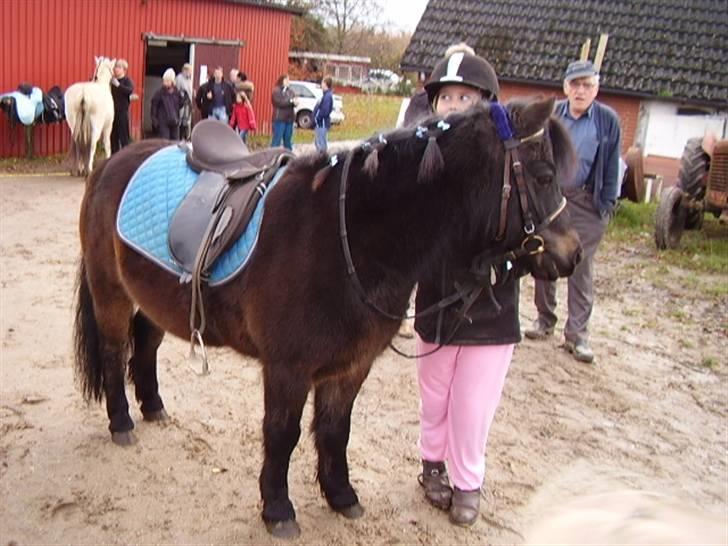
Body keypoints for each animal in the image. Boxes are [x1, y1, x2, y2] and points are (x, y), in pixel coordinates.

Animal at [75, 96, 580, 536]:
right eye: (544, 174)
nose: (572, 254)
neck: (349, 236)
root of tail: (112, 163)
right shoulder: (288, 368)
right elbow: (283, 433)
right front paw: (278, 508)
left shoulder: (351, 366)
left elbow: (337, 431)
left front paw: (341, 496)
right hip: (111, 292)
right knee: (114, 350)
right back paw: (121, 422)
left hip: (152, 298)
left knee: (145, 345)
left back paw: (153, 406)